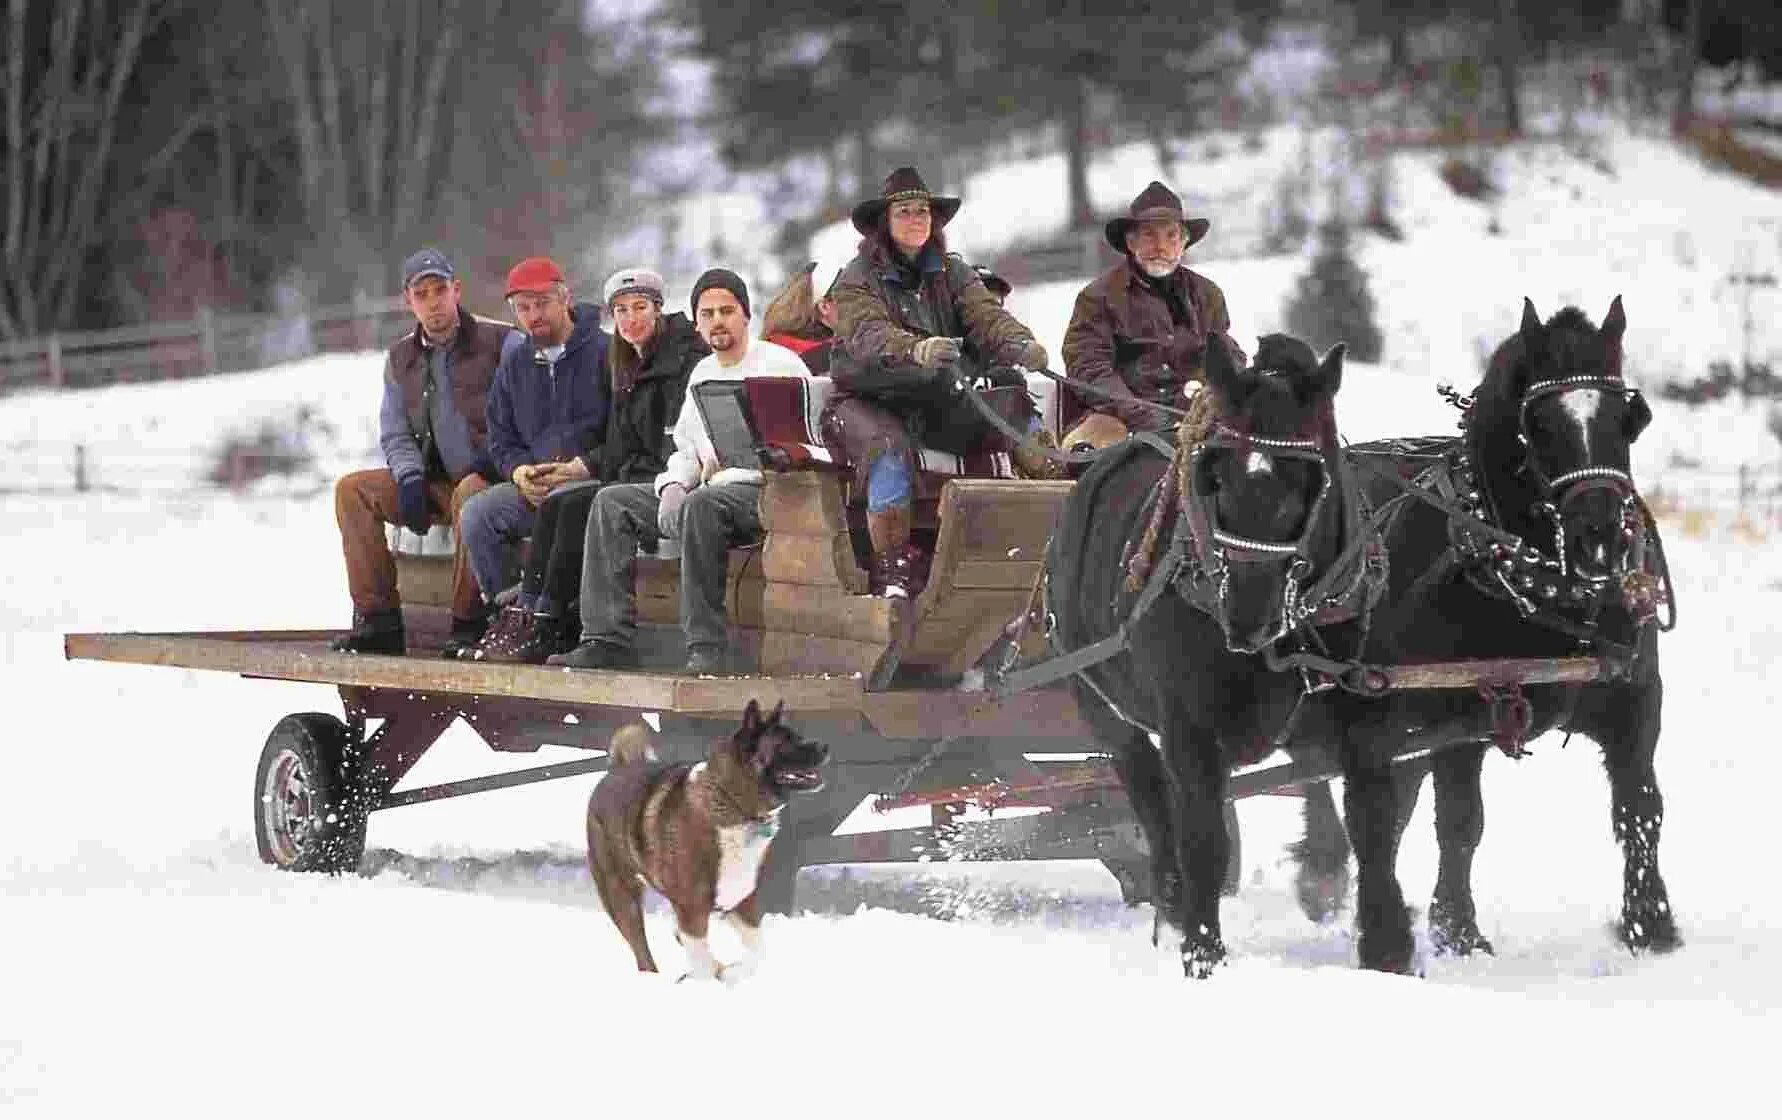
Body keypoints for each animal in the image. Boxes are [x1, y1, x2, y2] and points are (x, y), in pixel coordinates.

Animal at [588, 697, 830, 975]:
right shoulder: (692, 909)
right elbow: (702, 961)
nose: (825, 747)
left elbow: (757, 951)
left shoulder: (741, 901)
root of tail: (617, 768)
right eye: (785, 743)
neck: (732, 801)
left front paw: (736, 972)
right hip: (621, 895)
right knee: (643, 954)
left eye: (798, 736)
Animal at [1283, 297, 1667, 961]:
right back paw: (1324, 874)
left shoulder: (1631, 695)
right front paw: (1450, 930)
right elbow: (1457, 819)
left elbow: (1640, 807)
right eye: (1538, 424)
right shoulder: (1449, 713)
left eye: (1629, 418)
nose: (1596, 539)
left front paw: (1651, 927)